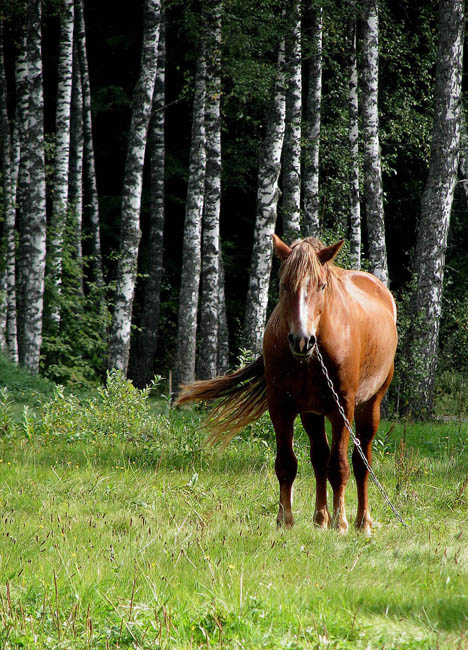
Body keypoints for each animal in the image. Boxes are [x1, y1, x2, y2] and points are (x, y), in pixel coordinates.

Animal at [176, 235, 398, 534]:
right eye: (283, 285)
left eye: (322, 285)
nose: (302, 340)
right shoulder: (281, 408)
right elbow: (286, 465)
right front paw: (285, 519)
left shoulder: (342, 410)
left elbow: (339, 466)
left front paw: (340, 522)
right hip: (312, 414)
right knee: (319, 460)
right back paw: (320, 518)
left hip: (368, 406)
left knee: (361, 463)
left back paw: (362, 522)